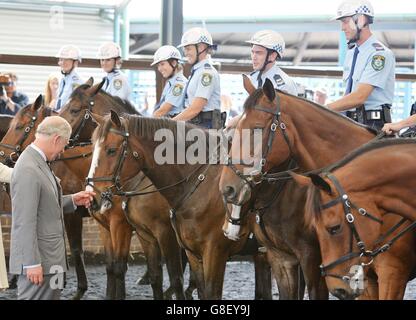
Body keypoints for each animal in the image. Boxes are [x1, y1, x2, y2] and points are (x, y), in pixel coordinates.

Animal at [87, 111, 272, 298]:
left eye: (111, 150)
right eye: (93, 148)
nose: (93, 197)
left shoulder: (204, 249)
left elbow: (178, 279)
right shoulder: (151, 238)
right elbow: (157, 278)